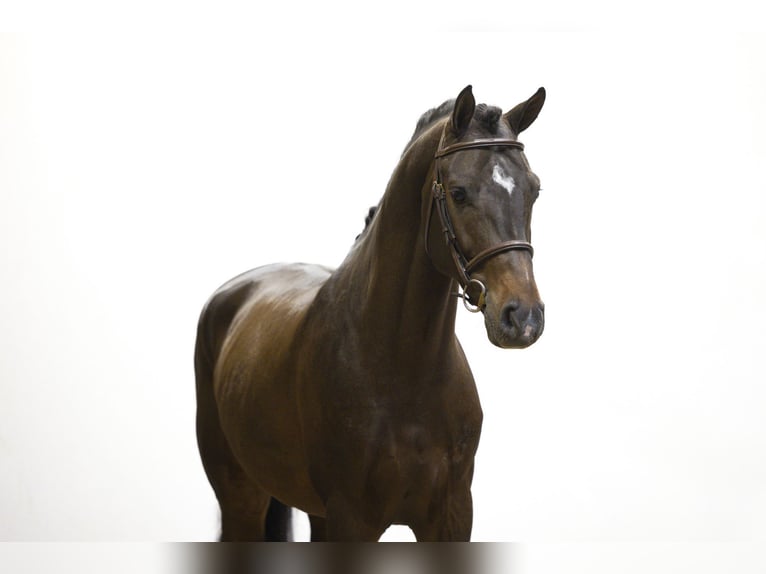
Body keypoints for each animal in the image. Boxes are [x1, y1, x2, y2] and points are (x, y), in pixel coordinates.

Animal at [194, 85, 546, 541]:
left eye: (534, 189)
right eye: (458, 192)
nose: (523, 318)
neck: (402, 369)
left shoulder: (452, 516)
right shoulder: (352, 518)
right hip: (242, 496)